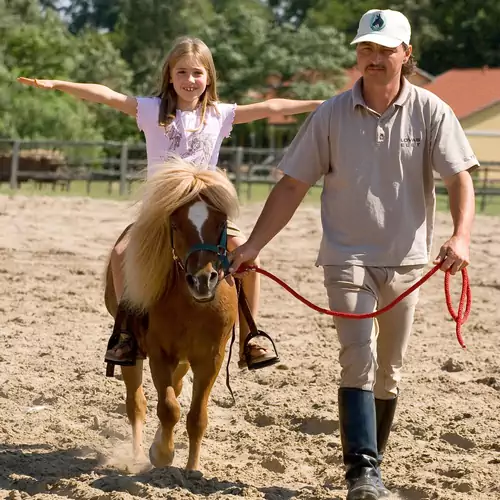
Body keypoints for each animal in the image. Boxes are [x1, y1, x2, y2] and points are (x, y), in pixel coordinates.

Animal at [103, 157, 240, 472]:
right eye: (176, 224)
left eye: (221, 223)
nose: (203, 280)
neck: (192, 306)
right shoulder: (159, 354)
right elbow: (168, 408)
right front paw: (161, 454)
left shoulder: (210, 359)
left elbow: (196, 416)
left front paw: (192, 470)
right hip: (133, 355)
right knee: (136, 403)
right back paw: (137, 454)